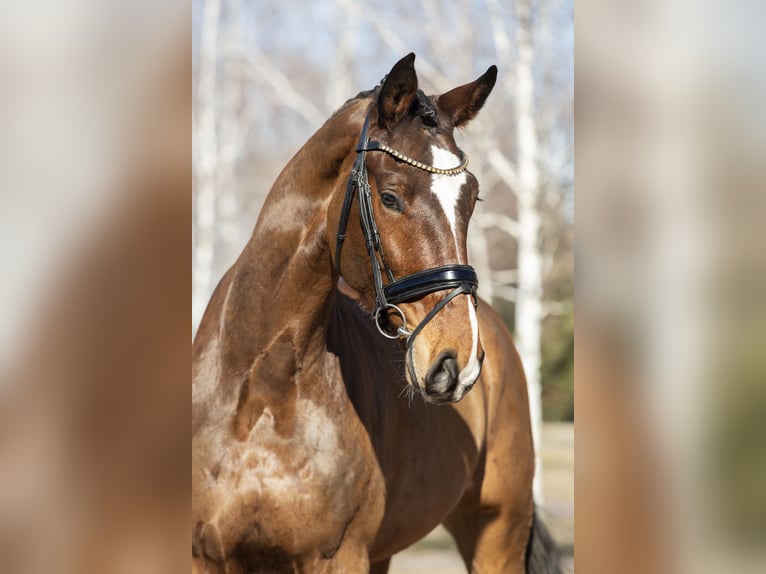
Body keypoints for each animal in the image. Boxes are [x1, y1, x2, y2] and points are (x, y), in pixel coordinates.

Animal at [192, 53, 560, 572]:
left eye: (472, 199)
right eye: (390, 196)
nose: (459, 363)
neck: (261, 388)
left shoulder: (339, 555)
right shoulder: (205, 555)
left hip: (497, 534)